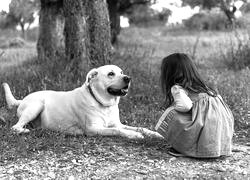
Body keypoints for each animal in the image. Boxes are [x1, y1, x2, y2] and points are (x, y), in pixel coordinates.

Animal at [2, 64, 163, 139]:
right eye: (111, 74)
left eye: (122, 72)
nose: (128, 78)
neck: (104, 104)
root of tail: (22, 99)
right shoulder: (93, 129)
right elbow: (117, 131)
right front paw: (133, 135)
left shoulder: (118, 123)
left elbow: (140, 127)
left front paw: (154, 134)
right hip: (36, 105)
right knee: (14, 127)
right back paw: (25, 130)